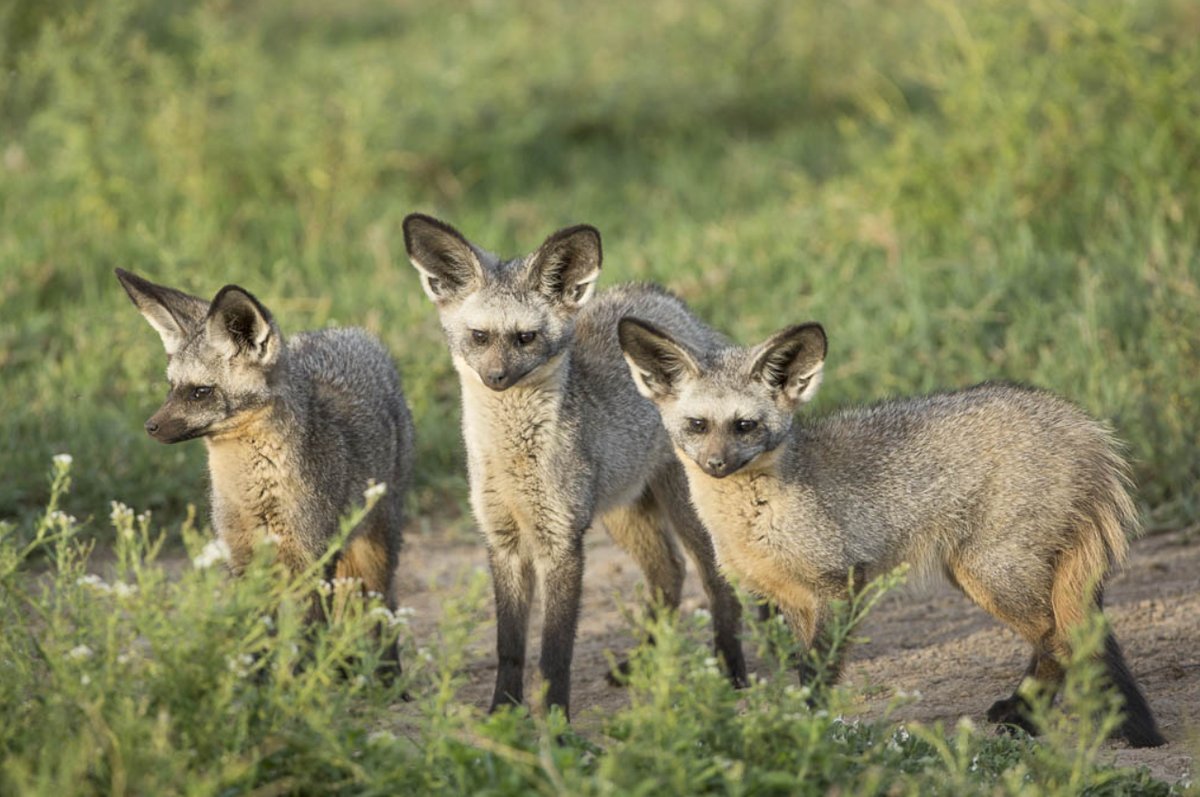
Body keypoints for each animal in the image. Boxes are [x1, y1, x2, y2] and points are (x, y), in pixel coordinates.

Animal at [398, 214, 744, 720]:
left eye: (525, 338)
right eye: (480, 337)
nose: (496, 378)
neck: (513, 463)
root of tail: (666, 300)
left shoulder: (561, 541)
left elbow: (554, 652)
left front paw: (556, 720)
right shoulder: (502, 539)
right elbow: (510, 647)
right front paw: (502, 712)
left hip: (683, 514)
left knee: (717, 584)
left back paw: (732, 672)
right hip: (622, 511)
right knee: (668, 572)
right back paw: (642, 662)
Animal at [624, 316, 1166, 748]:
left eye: (744, 426)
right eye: (697, 425)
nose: (716, 465)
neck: (757, 518)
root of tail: (1082, 424)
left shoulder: (838, 585)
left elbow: (816, 673)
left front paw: (808, 728)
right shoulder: (792, 598)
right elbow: (801, 668)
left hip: (989, 574)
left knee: (1061, 640)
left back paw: (1025, 717)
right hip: (979, 575)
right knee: (1063, 641)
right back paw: (1022, 713)